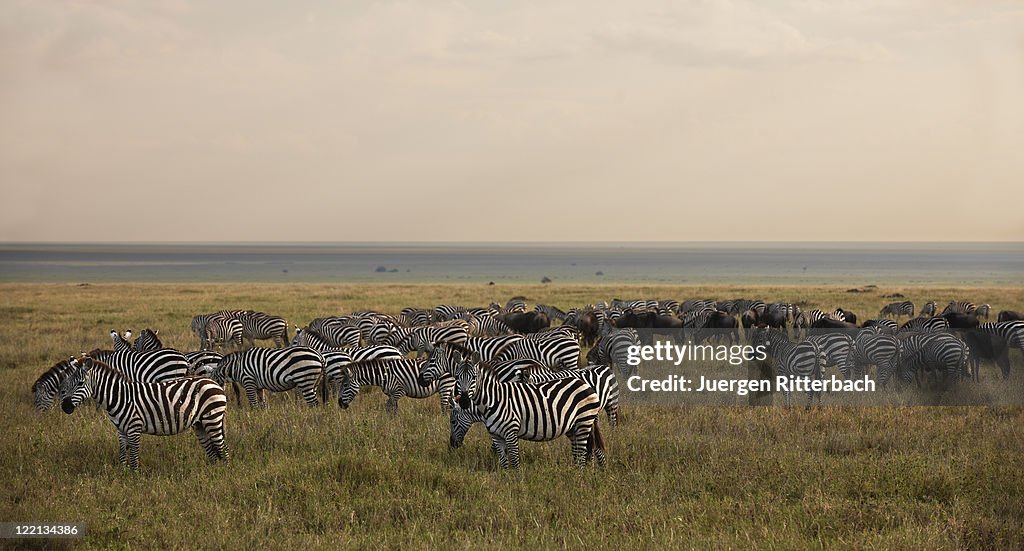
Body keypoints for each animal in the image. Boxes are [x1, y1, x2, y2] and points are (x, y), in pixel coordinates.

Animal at [60, 358, 229, 469]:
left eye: (80, 383)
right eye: (67, 383)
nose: (65, 407)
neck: (120, 397)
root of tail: (213, 382)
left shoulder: (134, 427)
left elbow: (134, 455)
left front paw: (134, 478)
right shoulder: (121, 430)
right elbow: (123, 453)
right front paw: (122, 474)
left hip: (212, 418)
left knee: (223, 448)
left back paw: (223, 475)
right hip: (200, 423)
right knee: (212, 450)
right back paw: (212, 472)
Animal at [450, 352, 606, 467]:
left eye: (474, 377)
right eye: (457, 377)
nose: (452, 445)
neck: (493, 400)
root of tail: (586, 385)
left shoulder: (511, 432)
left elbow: (514, 461)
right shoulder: (497, 435)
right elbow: (504, 462)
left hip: (583, 422)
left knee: (585, 452)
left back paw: (582, 475)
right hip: (573, 427)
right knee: (583, 451)